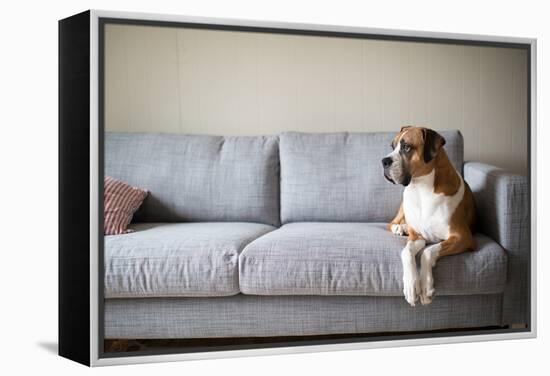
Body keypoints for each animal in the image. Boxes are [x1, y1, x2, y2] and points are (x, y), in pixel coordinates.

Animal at [384, 126, 478, 306]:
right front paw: (411, 285)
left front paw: (425, 286)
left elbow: (427, 252)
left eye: (406, 147)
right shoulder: (416, 237)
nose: (384, 161)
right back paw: (400, 227)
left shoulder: (462, 237)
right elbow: (406, 252)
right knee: (391, 223)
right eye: (392, 147)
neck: (421, 188)